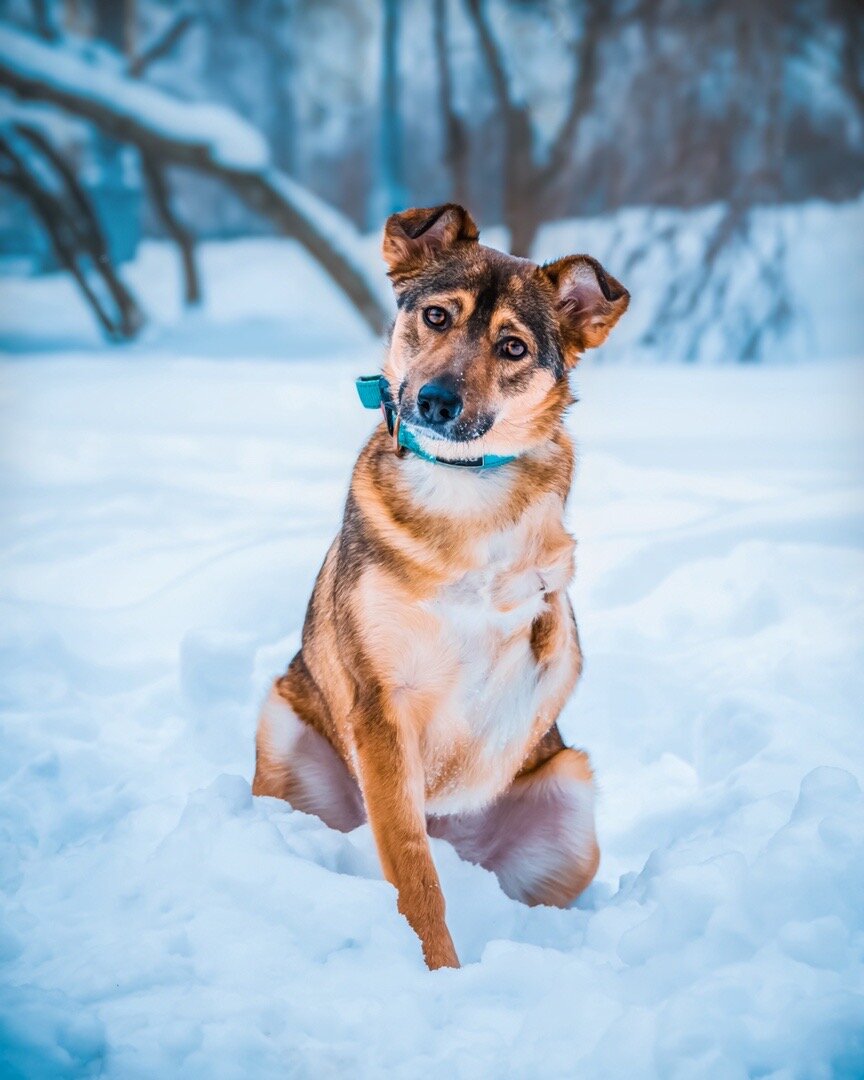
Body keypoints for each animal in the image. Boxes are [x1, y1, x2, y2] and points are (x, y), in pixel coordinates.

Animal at [251, 204, 626, 972]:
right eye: (435, 315)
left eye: (512, 347)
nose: (435, 400)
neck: (462, 493)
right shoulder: (379, 704)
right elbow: (413, 872)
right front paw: (439, 971)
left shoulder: (552, 637)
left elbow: (549, 623)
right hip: (283, 731)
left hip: (572, 800)